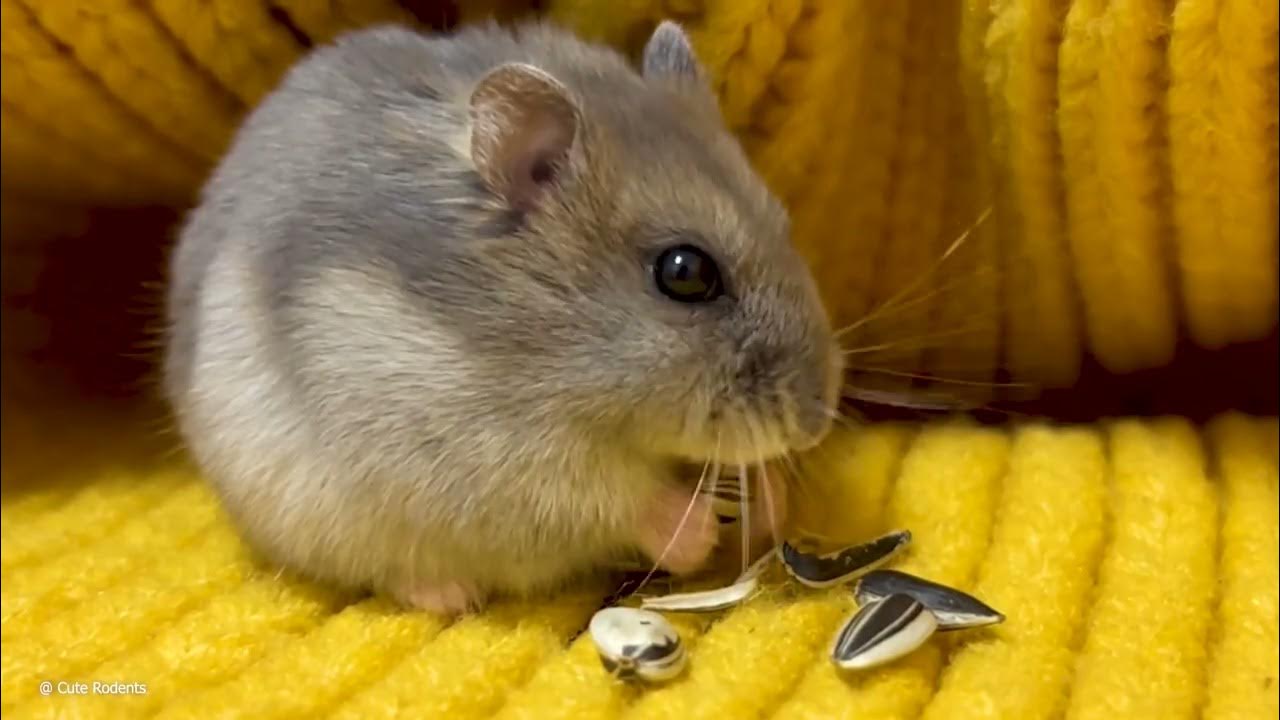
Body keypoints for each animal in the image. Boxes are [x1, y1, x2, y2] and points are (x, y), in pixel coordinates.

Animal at [162, 20, 842, 615]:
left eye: (784, 225)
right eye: (684, 272)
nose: (815, 425)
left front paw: (772, 499)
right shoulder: (497, 459)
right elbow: (613, 499)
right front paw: (697, 531)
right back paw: (449, 596)